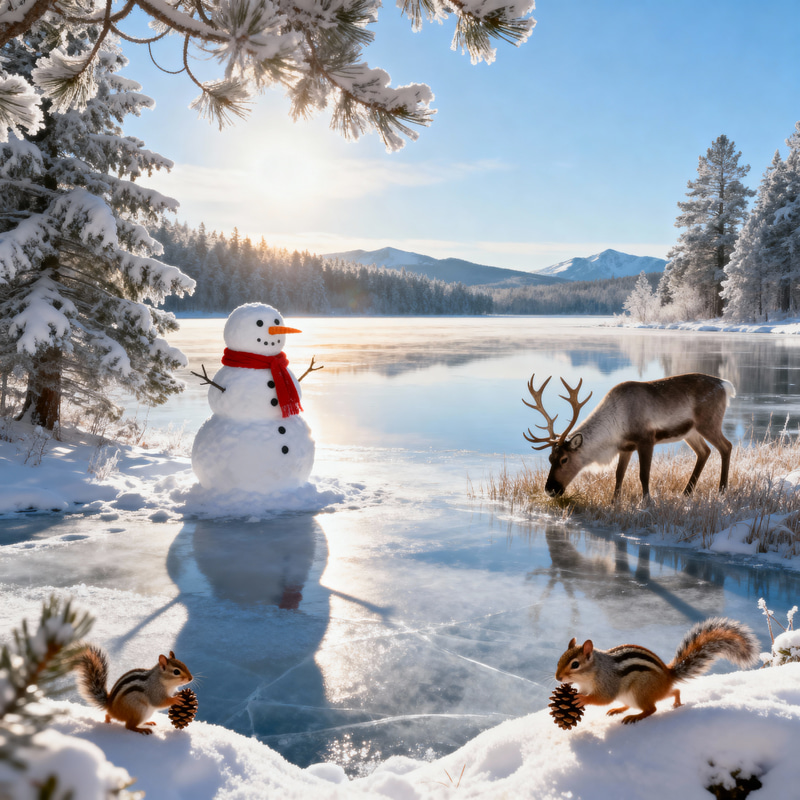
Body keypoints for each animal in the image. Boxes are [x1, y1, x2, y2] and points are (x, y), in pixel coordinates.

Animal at [523, 373, 736, 500]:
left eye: (564, 459)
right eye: (550, 458)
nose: (550, 489)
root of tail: (725, 385)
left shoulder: (646, 439)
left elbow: (644, 474)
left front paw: (647, 502)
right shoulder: (625, 447)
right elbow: (619, 474)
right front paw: (614, 501)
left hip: (708, 423)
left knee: (726, 446)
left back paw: (722, 490)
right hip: (690, 432)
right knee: (704, 451)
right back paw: (687, 492)